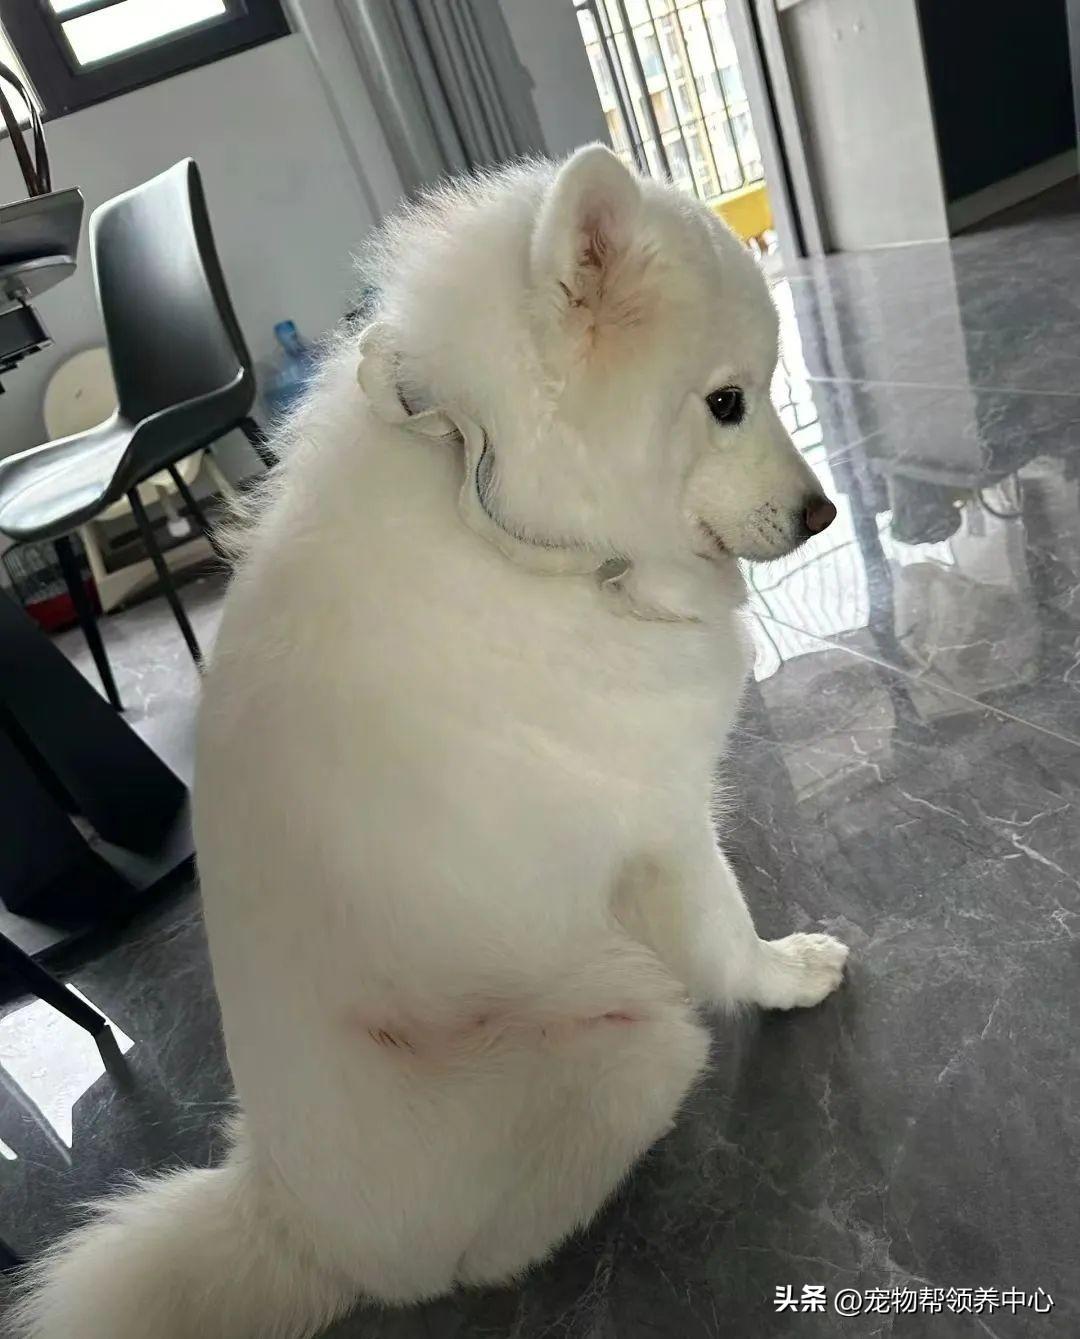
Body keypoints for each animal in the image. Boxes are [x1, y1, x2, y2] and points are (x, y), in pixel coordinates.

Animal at [13, 146, 845, 1339]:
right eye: (726, 403)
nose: (826, 513)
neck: (518, 525)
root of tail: (289, 1217)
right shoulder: (665, 826)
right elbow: (731, 935)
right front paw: (788, 976)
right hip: (633, 1025)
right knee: (500, 1239)